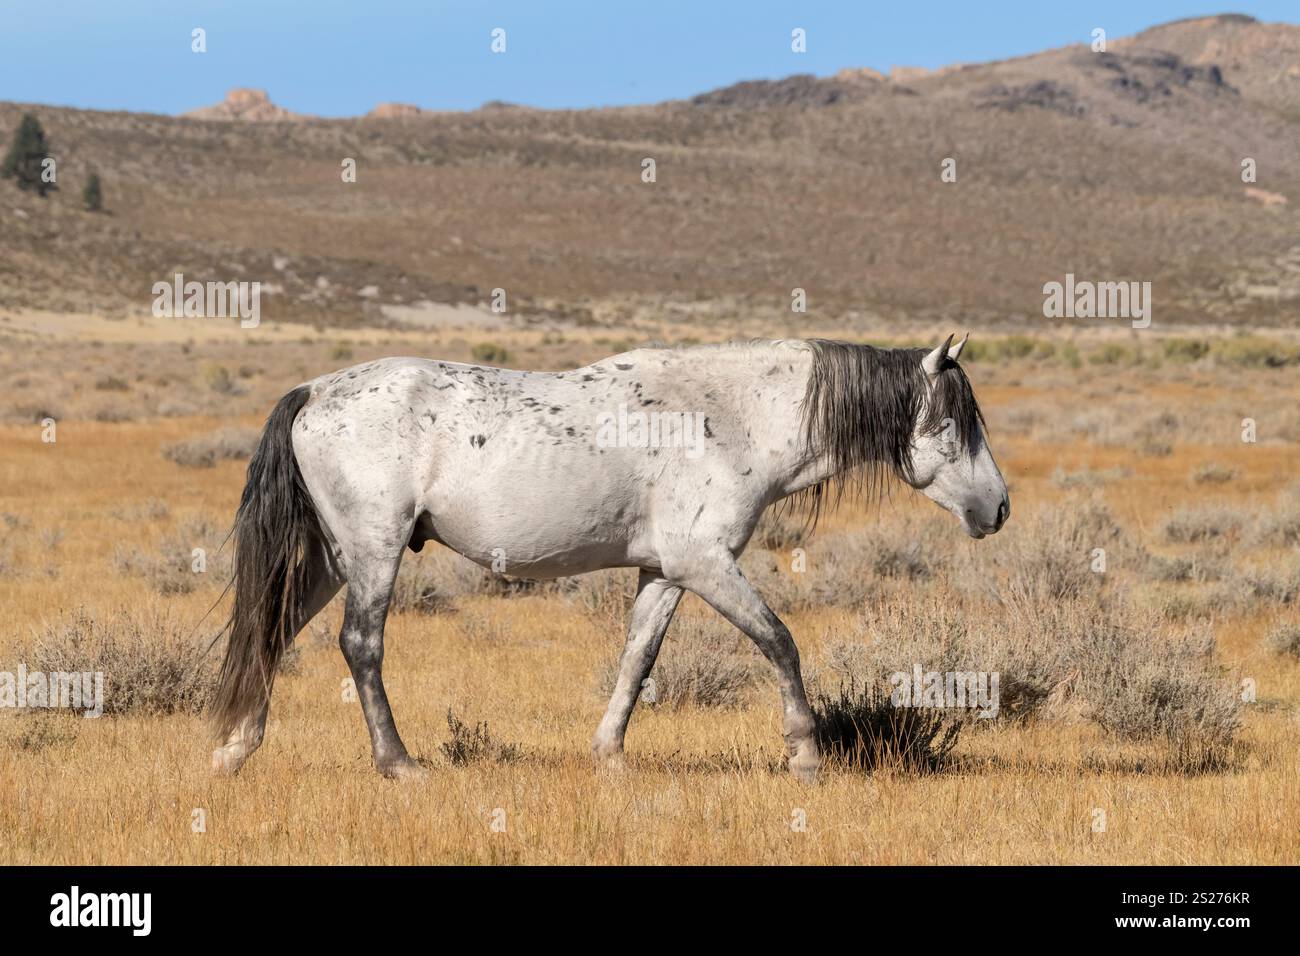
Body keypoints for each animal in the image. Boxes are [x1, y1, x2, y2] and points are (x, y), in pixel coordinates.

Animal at [210, 334, 1009, 782]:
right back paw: (398, 764)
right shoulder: (707, 565)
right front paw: (805, 754)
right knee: (361, 646)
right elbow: (780, 642)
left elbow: (637, 658)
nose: (998, 508)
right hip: (372, 554)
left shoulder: (665, 573)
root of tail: (315, 390)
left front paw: (610, 756)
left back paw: (236, 750)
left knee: (273, 634)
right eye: (950, 423)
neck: (731, 416)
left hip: (330, 559)